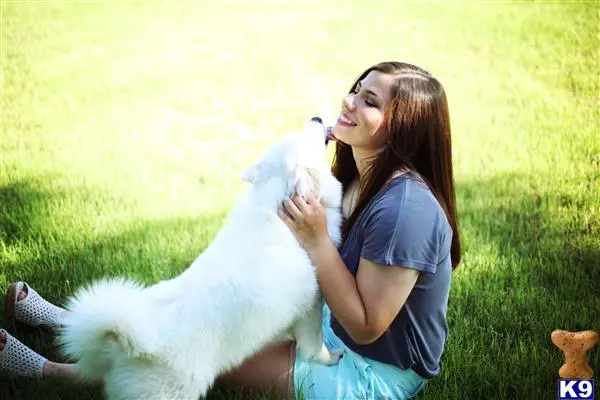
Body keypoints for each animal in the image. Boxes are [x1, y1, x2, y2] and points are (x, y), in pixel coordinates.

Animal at [60, 119, 344, 400]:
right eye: (303, 138)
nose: (317, 119)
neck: (276, 202)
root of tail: (126, 340)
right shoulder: (311, 306)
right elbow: (315, 346)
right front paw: (330, 358)